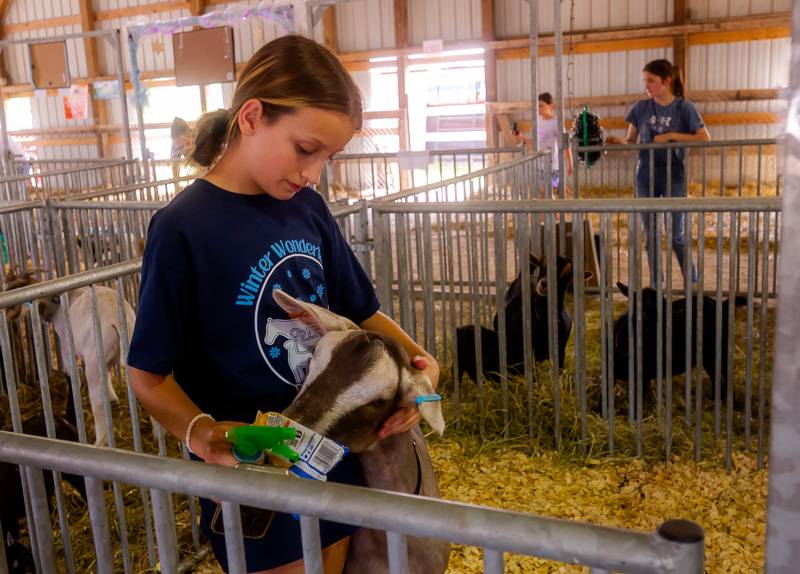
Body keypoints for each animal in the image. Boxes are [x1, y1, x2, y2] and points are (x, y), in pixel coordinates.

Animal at [612, 282, 752, 414]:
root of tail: (723, 305)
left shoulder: (644, 377)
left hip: (720, 351)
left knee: (726, 377)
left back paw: (733, 406)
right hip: (709, 357)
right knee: (715, 376)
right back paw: (715, 401)